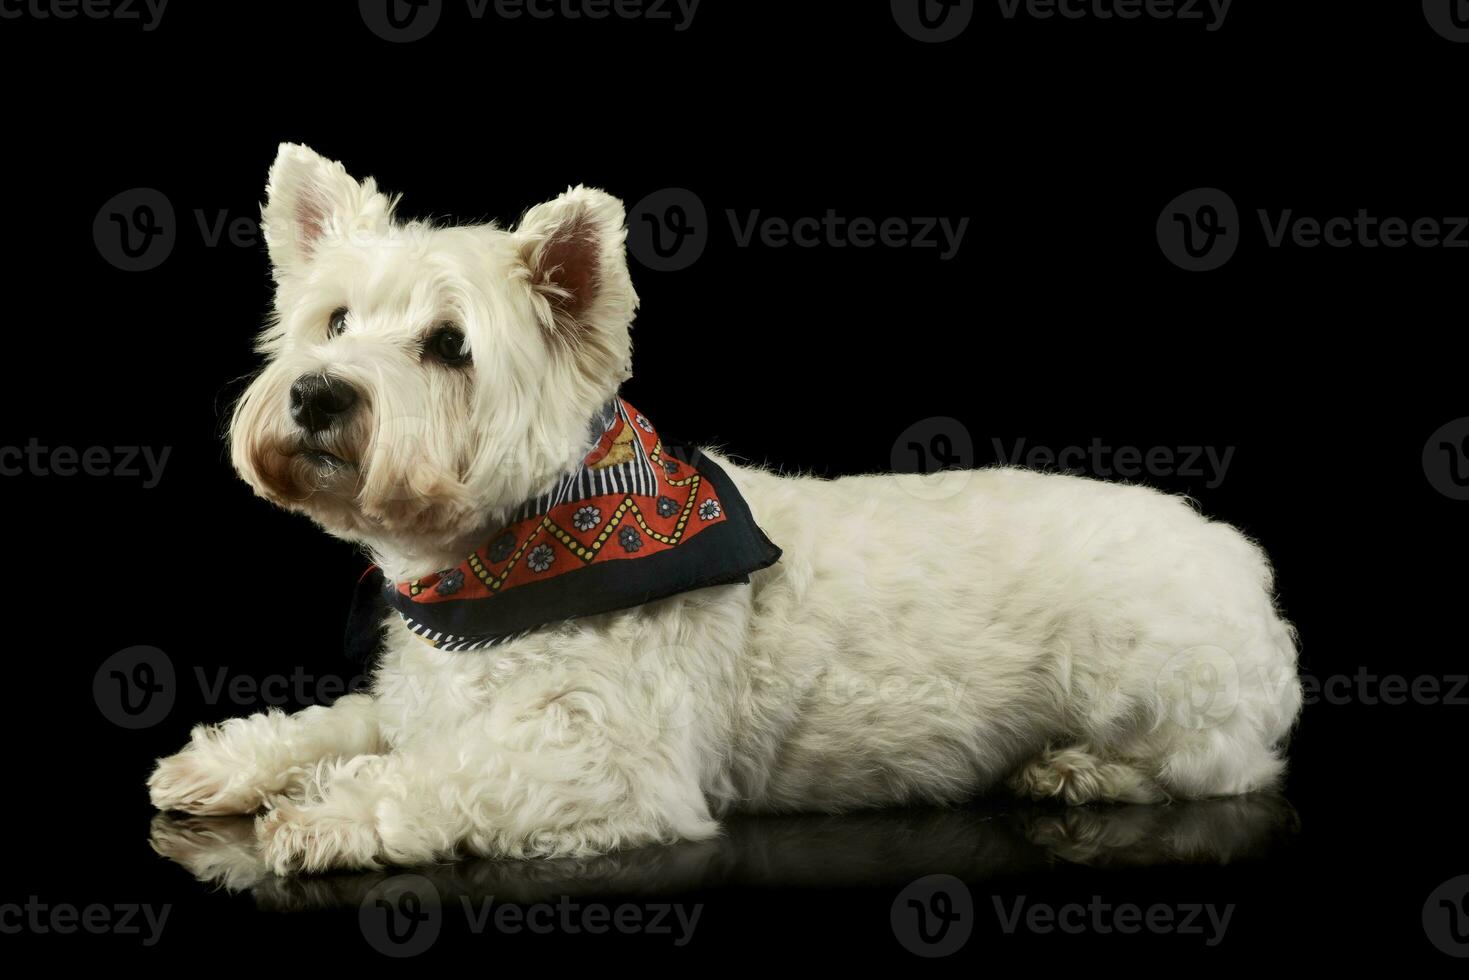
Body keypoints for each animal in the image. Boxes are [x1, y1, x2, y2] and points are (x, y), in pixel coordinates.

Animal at [143, 145, 1304, 875]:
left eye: (449, 345)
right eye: (335, 320)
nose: (316, 393)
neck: (505, 558)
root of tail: (1239, 557)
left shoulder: (610, 768)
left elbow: (441, 777)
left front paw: (329, 809)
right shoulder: (428, 696)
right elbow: (351, 719)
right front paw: (233, 760)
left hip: (1163, 694)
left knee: (1225, 763)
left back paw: (1073, 768)